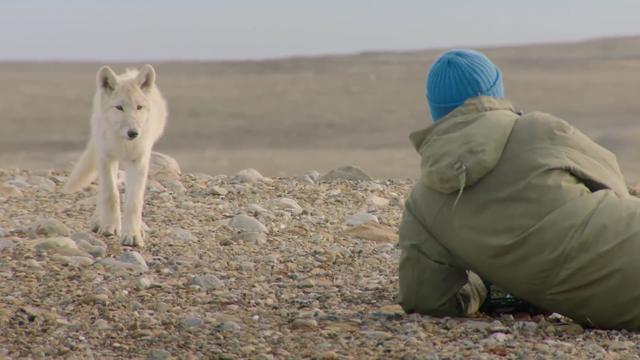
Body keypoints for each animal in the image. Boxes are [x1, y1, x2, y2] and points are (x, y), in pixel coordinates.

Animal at [62, 64, 166, 248]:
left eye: (139, 107)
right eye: (119, 107)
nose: (133, 133)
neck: (123, 143)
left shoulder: (138, 162)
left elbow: (134, 201)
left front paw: (132, 235)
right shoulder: (106, 158)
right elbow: (111, 194)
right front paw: (110, 227)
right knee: (104, 192)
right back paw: (99, 221)